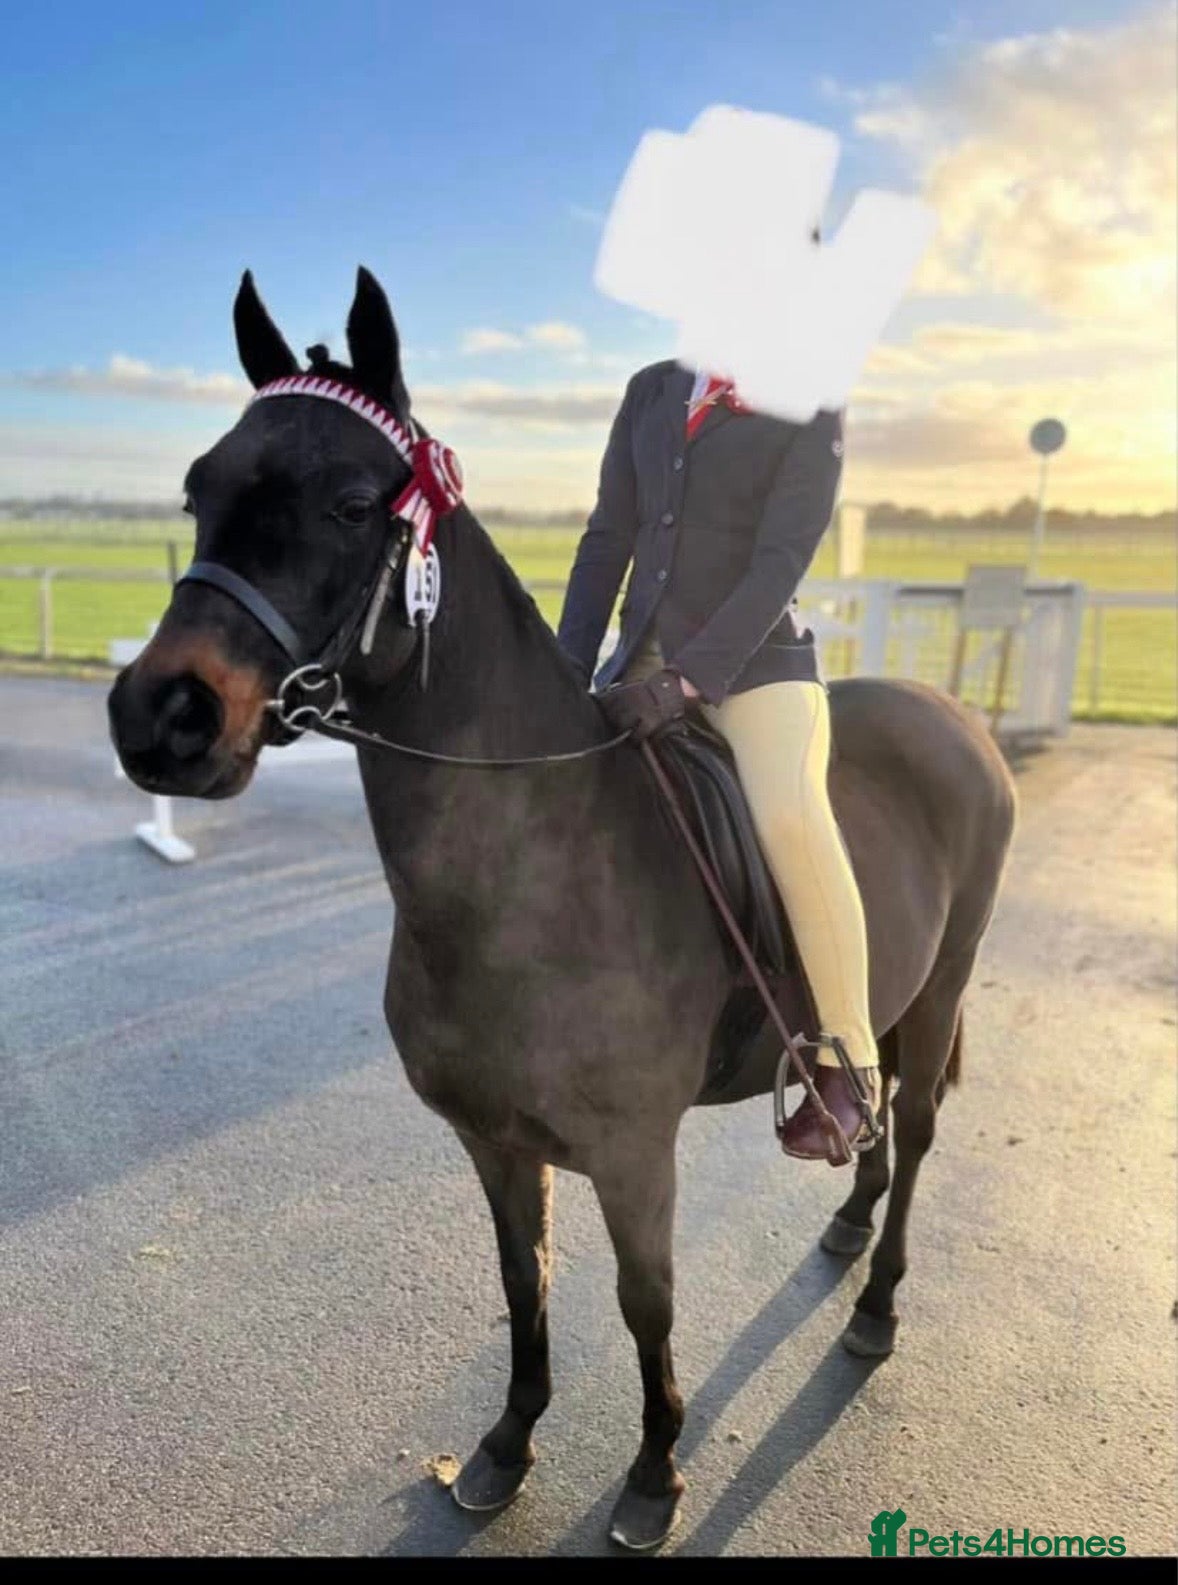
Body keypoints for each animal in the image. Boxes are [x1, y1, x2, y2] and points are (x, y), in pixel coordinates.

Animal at [107, 266, 1017, 1551]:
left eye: (351, 502)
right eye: (199, 487)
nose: (164, 716)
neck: (524, 875)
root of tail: (953, 716)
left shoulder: (635, 1155)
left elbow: (645, 1304)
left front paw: (653, 1473)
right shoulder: (492, 1142)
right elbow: (519, 1285)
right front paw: (501, 1448)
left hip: (939, 992)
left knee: (919, 1120)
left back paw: (875, 1306)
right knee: (874, 1103)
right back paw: (844, 1218)